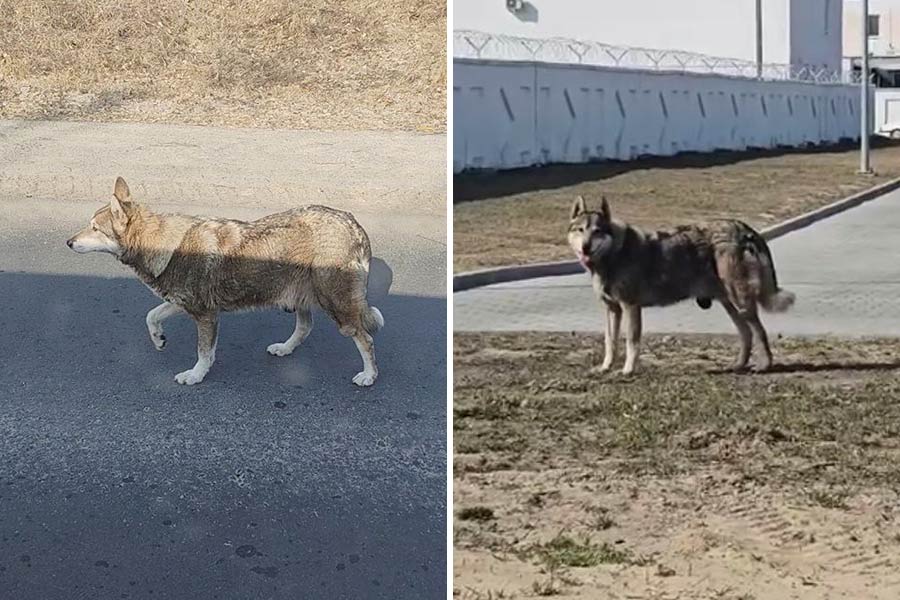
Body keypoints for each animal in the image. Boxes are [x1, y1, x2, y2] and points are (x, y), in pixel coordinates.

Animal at [67, 177, 384, 387]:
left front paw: (195, 376)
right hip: (299, 299)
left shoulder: (206, 316)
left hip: (337, 308)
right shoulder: (182, 304)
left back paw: (369, 375)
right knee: (306, 328)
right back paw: (285, 348)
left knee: (365, 339)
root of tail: (352, 223)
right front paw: (158, 339)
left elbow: (203, 353)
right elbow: (151, 316)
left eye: (94, 228)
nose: (68, 242)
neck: (165, 245)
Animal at [567, 195, 794, 375]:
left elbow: (631, 342)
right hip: (731, 305)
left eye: (597, 231)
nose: (585, 247)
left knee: (759, 332)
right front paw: (605, 368)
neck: (613, 255)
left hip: (741, 302)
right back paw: (738, 366)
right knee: (746, 334)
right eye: (581, 230)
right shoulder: (612, 309)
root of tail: (743, 228)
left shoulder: (630, 307)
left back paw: (764, 366)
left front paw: (627, 371)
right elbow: (610, 342)